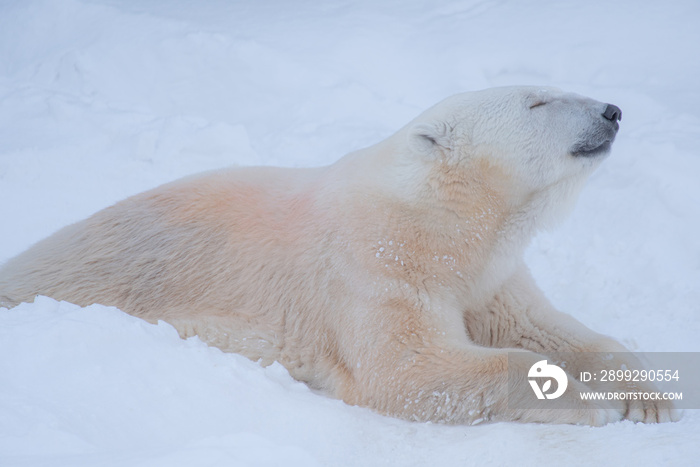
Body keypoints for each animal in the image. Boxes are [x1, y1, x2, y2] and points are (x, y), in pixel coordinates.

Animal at [1, 86, 680, 426]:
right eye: (536, 102)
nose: (613, 110)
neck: (439, 222)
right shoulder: (375, 267)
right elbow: (410, 371)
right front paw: (591, 401)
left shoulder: (489, 274)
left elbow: (544, 326)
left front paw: (647, 395)